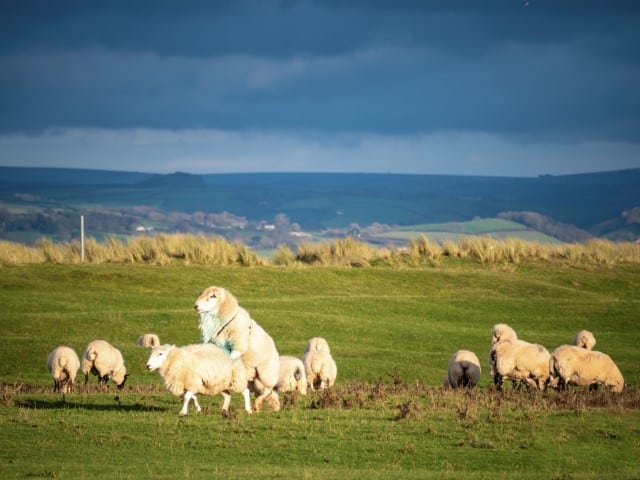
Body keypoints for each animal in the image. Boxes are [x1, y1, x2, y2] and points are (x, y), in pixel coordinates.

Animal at [195, 284, 280, 412]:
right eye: (201, 294)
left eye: (212, 296)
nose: (196, 306)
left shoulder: (238, 345)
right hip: (251, 379)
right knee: (257, 392)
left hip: (265, 375)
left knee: (268, 391)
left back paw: (257, 404)